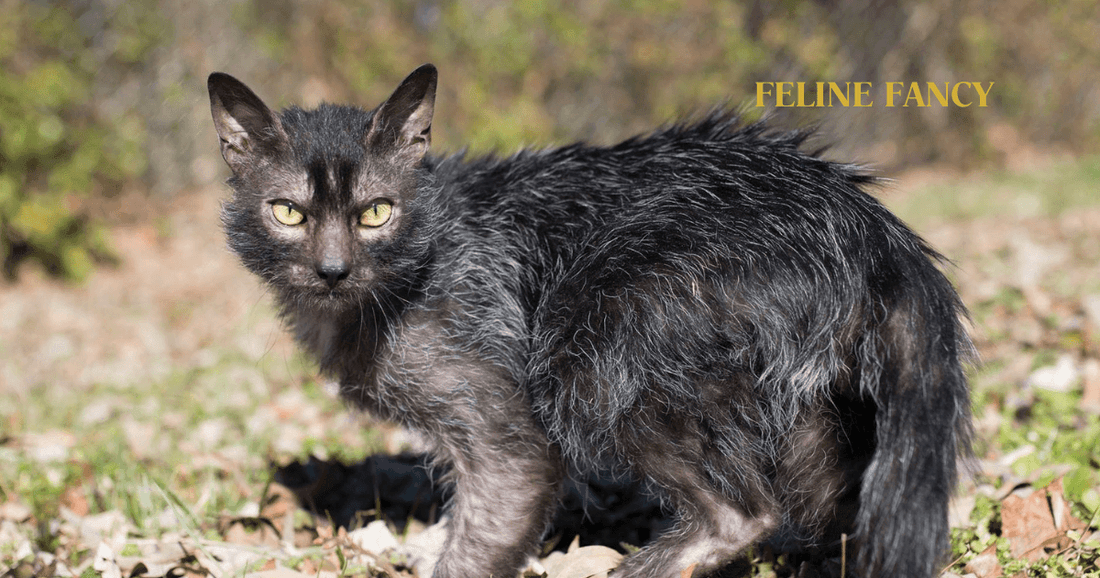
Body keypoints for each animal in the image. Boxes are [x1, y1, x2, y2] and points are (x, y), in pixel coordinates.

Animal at [206, 64, 972, 576]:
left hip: (592, 353)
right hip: (813, 414)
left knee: (743, 514)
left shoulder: (507, 437)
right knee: (821, 509)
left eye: (375, 213)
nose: (332, 270)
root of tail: (872, 227)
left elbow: (478, 542)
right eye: (288, 213)